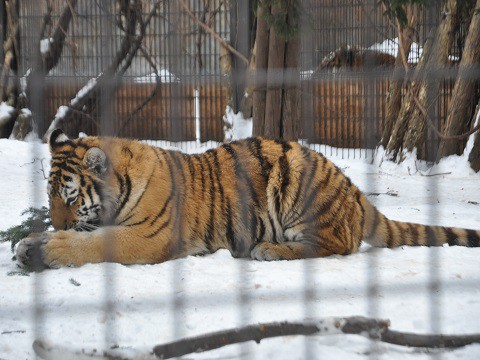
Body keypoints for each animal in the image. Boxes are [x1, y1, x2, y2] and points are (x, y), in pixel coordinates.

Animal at [15, 129, 480, 270]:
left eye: (70, 198)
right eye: (50, 199)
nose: (57, 223)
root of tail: (355, 192)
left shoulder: (149, 236)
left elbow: (94, 244)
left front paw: (48, 248)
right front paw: (30, 243)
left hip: (298, 183)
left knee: (336, 245)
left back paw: (269, 250)